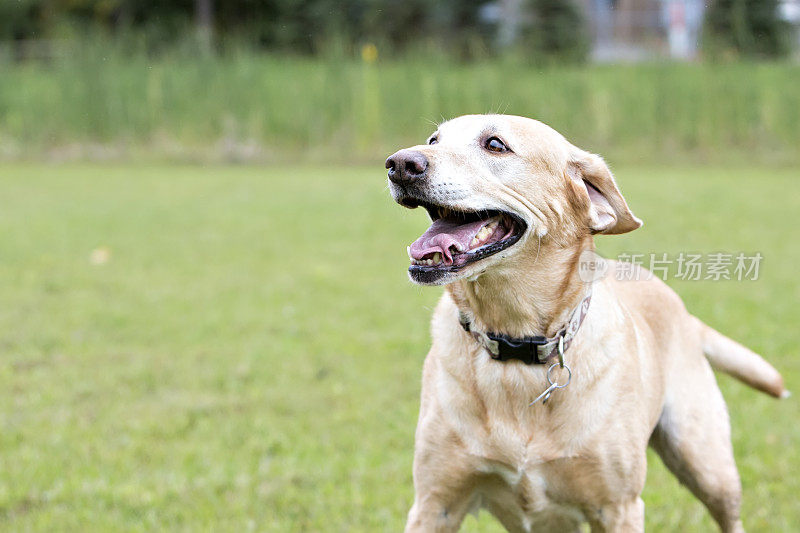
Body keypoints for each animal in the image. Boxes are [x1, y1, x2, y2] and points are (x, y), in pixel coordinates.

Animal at [384, 115, 784, 532]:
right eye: (433, 140)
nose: (400, 164)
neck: (516, 341)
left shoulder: (619, 506)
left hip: (706, 461)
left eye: (495, 144)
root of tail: (685, 313)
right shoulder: (434, 503)